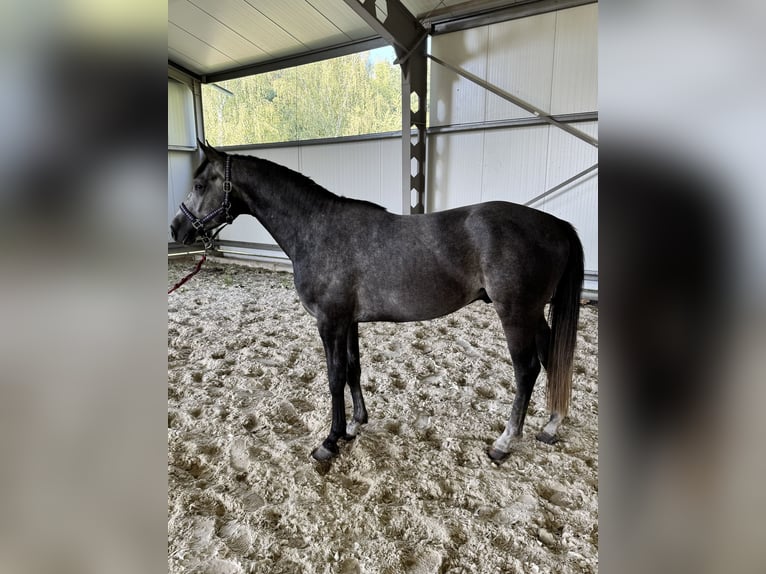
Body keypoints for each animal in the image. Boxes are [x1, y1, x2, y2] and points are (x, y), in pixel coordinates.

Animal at [171, 143, 584, 464]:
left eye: (199, 184)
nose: (177, 228)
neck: (316, 229)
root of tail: (555, 223)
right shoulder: (349, 321)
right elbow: (354, 369)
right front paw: (355, 424)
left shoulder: (329, 321)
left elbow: (334, 376)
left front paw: (329, 442)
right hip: (534, 314)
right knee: (552, 356)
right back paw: (551, 425)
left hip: (516, 314)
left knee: (527, 370)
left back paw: (504, 442)